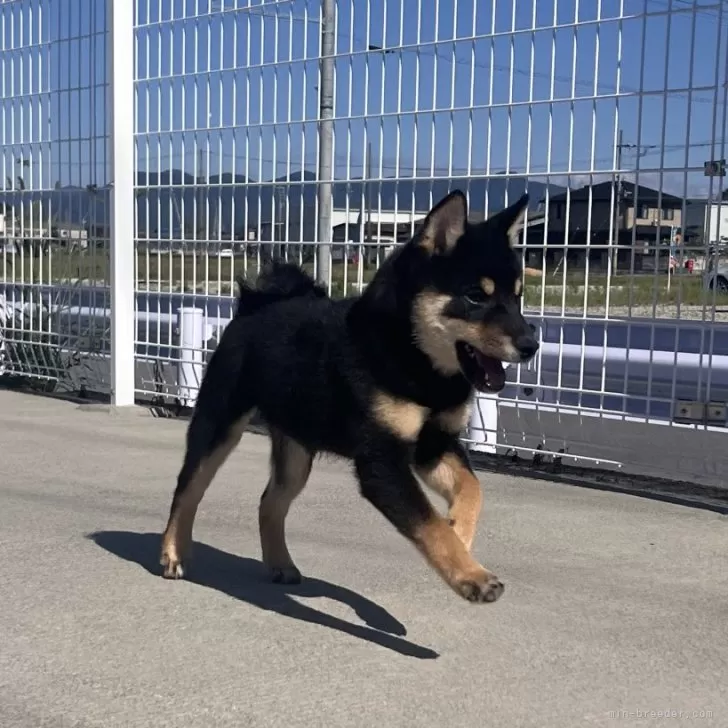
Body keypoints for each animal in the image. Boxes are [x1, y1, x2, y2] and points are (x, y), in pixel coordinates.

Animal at [161, 191, 540, 604]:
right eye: (474, 297)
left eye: (518, 297)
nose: (531, 346)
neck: (416, 361)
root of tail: (256, 303)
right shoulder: (381, 462)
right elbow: (429, 523)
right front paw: (472, 575)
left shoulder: (434, 444)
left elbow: (473, 489)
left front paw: (461, 533)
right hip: (218, 424)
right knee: (187, 490)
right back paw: (173, 553)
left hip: (296, 448)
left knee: (269, 503)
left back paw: (280, 563)